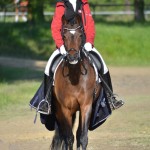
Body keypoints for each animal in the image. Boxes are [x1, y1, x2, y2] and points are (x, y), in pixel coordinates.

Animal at [51, 14, 101, 150]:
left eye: (80, 35)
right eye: (64, 36)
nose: (72, 57)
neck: (74, 78)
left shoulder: (86, 106)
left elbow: (82, 137)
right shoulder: (65, 109)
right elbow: (69, 138)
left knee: (78, 133)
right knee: (63, 135)